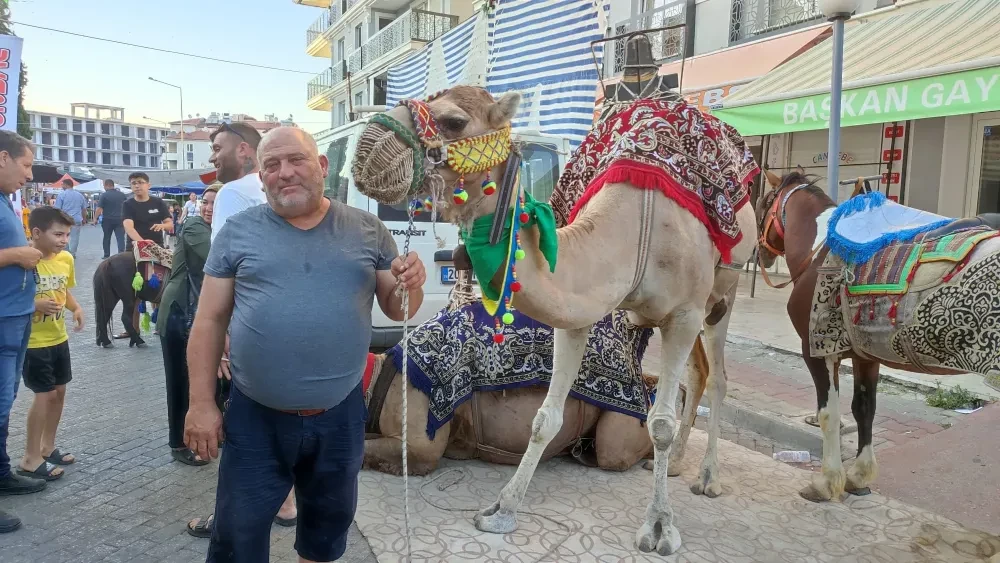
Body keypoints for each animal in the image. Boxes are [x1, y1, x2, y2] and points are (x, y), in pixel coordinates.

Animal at [354, 86, 756, 556]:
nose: (368, 148)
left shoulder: (683, 312)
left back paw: (707, 477)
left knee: (717, 378)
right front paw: (501, 509)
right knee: (695, 374)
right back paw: (673, 465)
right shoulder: (580, 307)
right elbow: (545, 418)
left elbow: (659, 423)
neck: (637, 232)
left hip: (719, 298)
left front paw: (659, 526)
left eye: (454, 120)